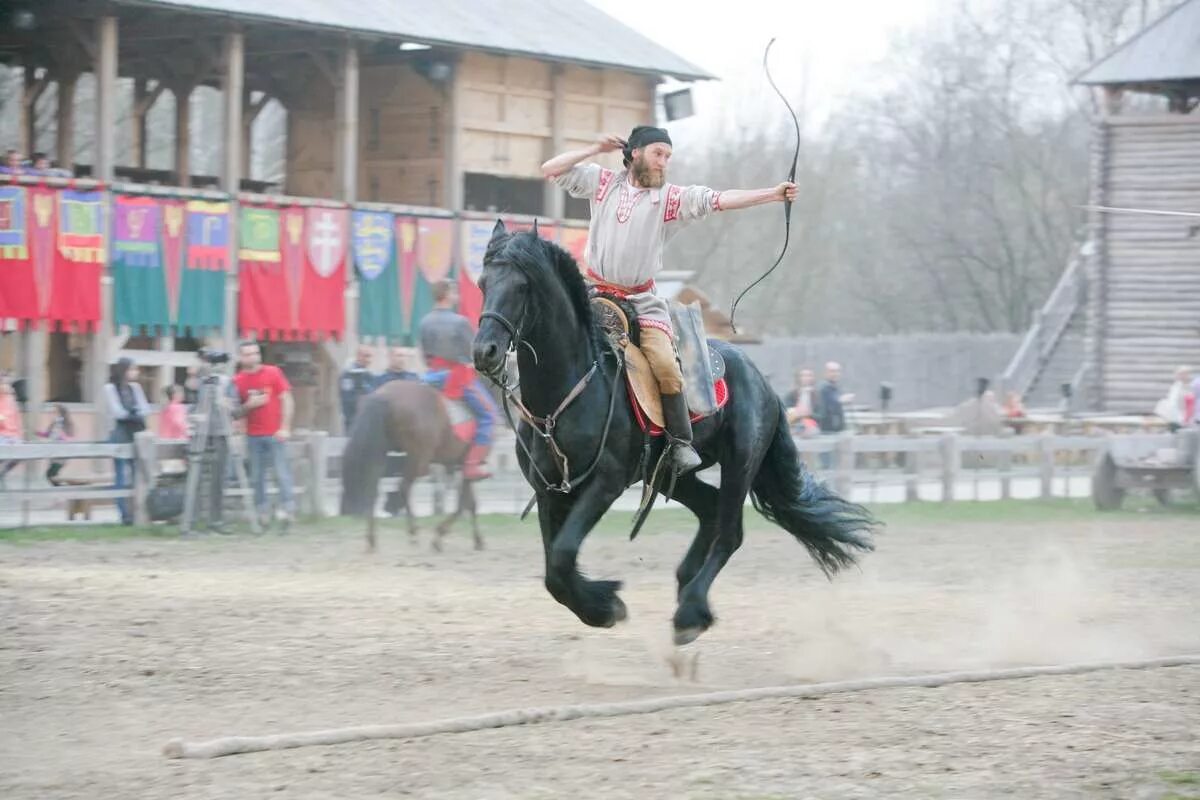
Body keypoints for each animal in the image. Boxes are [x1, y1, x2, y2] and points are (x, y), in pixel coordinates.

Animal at [338, 381, 482, 554]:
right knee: (404, 487)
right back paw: (413, 532)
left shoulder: (462, 465)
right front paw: (440, 536)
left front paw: (477, 539)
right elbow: (464, 503)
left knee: (372, 488)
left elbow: (470, 502)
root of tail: (384, 395)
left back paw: (372, 539)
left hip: (382, 451)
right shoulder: (465, 464)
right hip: (418, 458)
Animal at [472, 221, 878, 647]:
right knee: (710, 509)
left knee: (729, 533)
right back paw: (686, 587)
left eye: (522, 286)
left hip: (740, 464)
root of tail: (762, 381)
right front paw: (601, 602)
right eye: (483, 282)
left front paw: (606, 605)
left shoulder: (605, 484)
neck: (567, 393)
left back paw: (690, 611)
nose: (485, 351)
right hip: (675, 475)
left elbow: (564, 557)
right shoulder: (548, 490)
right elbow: (555, 571)